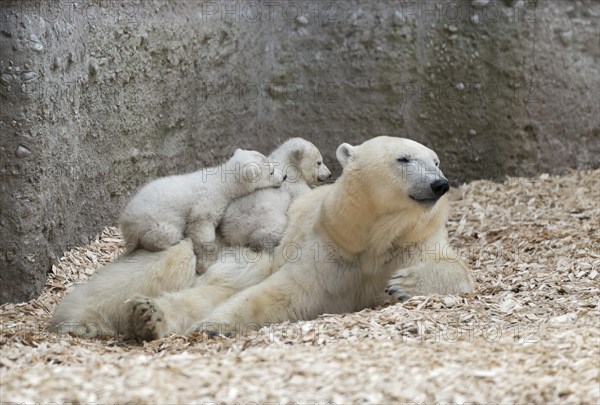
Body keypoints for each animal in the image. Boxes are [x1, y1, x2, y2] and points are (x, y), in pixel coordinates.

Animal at [130, 137, 474, 340]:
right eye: (404, 159)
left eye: (436, 161)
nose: (439, 184)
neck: (373, 236)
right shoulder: (333, 245)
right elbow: (285, 291)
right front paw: (212, 326)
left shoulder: (414, 239)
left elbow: (455, 269)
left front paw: (403, 284)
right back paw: (147, 313)